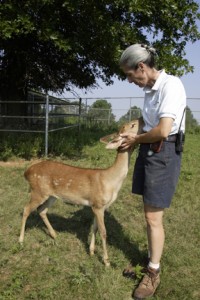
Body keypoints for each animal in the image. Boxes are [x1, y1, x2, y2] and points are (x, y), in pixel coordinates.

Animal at [19, 118, 142, 266]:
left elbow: (94, 227)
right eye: (133, 125)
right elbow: (103, 231)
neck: (111, 181)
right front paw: (106, 261)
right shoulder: (98, 204)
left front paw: (91, 251)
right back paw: (21, 240)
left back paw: (54, 234)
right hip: (38, 191)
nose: (142, 119)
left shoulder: (97, 205)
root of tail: (27, 172)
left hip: (51, 196)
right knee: (26, 209)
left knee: (41, 210)